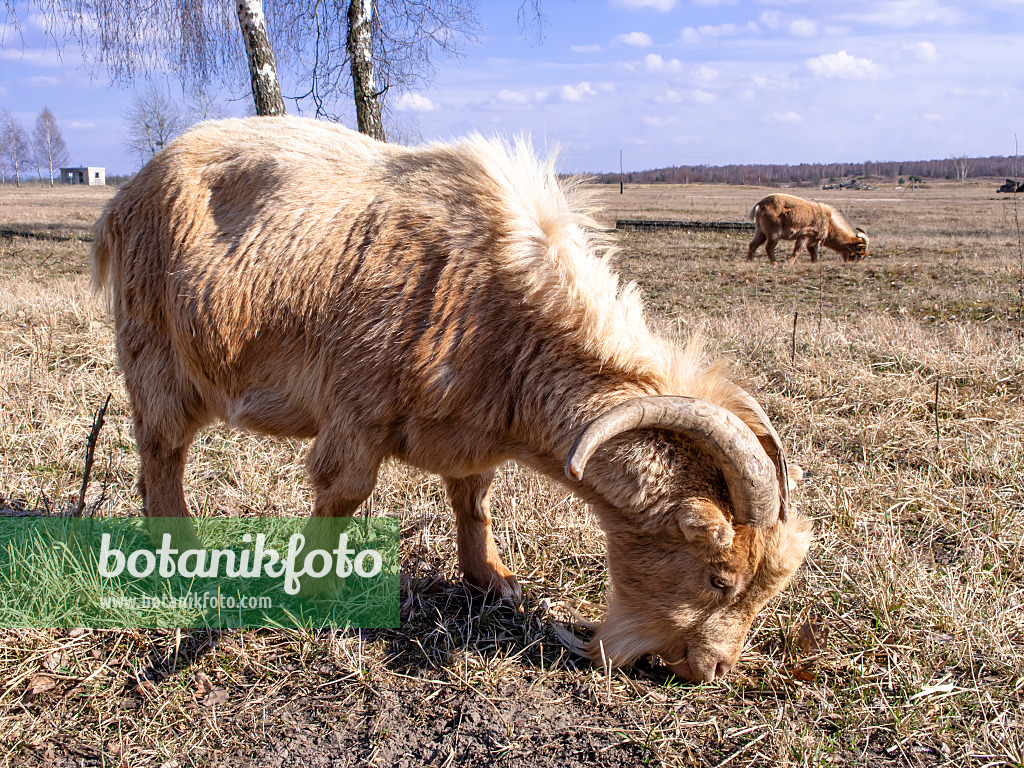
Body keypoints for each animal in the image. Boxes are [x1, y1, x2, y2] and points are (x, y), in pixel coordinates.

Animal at [92, 117, 811, 684]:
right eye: (718, 578)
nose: (710, 670)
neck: (503, 306)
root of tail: (122, 200)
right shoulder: (357, 405)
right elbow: (343, 492)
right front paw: (317, 590)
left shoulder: (472, 426)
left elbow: (474, 495)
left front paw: (492, 578)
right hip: (155, 354)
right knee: (160, 452)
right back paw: (179, 556)